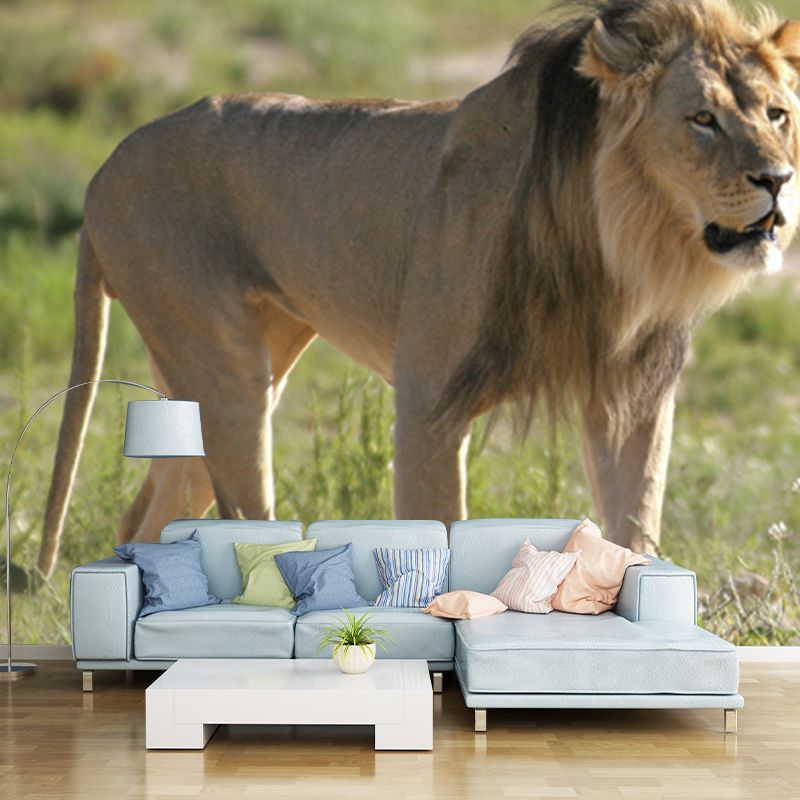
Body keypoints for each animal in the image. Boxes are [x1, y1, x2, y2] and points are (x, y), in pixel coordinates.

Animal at [38, 0, 800, 576]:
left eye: (776, 115)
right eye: (702, 119)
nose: (778, 180)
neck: (622, 242)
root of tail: (103, 169)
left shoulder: (632, 400)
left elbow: (634, 527)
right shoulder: (430, 399)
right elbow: (439, 529)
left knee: (150, 515)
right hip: (226, 374)